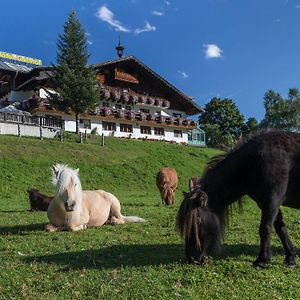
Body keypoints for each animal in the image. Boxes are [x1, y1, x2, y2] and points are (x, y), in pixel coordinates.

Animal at [177, 131, 300, 268]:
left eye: (198, 221)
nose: (192, 258)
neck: (255, 162)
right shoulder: (266, 203)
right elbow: (280, 229)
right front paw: (290, 258)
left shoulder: (272, 201)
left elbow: (265, 228)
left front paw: (262, 260)